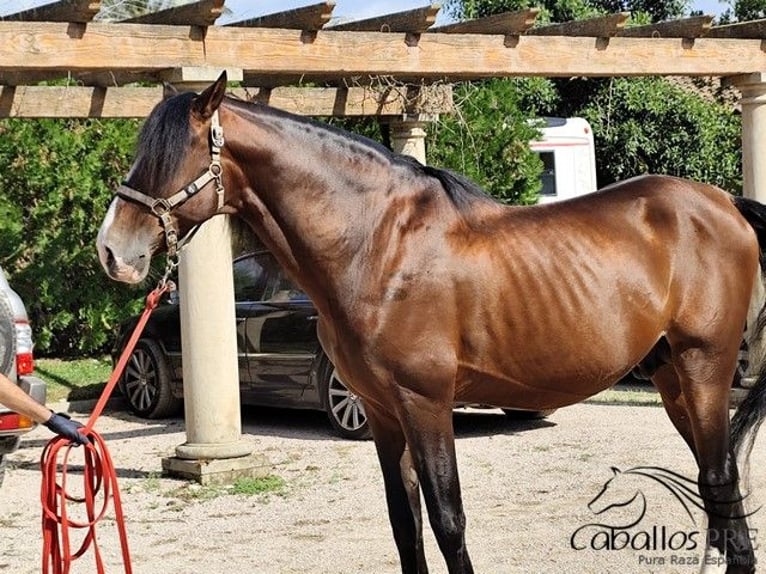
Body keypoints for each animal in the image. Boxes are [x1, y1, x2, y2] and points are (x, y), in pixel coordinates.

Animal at [96, 71, 766, 574]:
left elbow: (448, 520)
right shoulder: (382, 412)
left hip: (705, 369)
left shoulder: (425, 403)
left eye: (168, 158)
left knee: (718, 477)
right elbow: (406, 522)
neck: (377, 245)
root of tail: (724, 204)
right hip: (671, 378)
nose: (111, 252)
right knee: (720, 483)